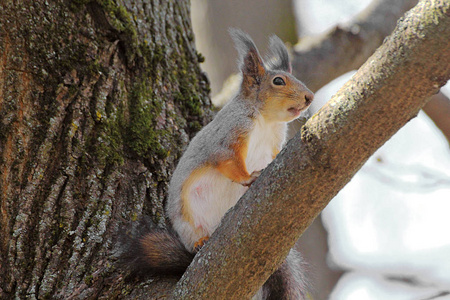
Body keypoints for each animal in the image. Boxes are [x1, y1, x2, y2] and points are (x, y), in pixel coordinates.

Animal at [123, 28, 312, 300]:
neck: (266, 121)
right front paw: (248, 177)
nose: (310, 97)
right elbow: (228, 161)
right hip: (187, 222)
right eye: (278, 81)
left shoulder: (275, 142)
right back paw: (201, 242)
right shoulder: (229, 135)